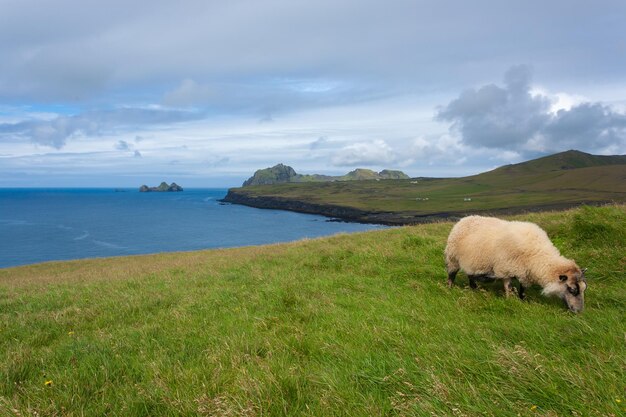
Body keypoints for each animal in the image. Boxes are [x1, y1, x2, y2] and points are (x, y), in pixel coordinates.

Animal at [444, 216, 584, 310]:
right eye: (572, 289)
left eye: (583, 289)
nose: (579, 312)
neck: (537, 254)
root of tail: (463, 220)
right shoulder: (506, 269)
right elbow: (509, 288)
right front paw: (510, 300)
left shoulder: (524, 272)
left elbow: (522, 289)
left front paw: (523, 300)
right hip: (453, 258)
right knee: (451, 275)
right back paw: (449, 289)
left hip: (472, 262)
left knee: (471, 276)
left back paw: (475, 290)